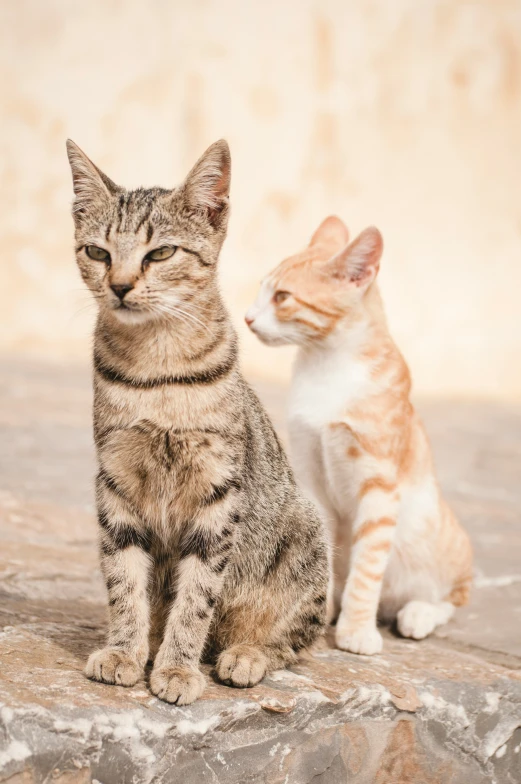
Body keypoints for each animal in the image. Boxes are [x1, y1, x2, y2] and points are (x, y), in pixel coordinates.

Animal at [64, 136, 324, 704]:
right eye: (98, 252)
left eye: (160, 252)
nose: (119, 286)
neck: (156, 369)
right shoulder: (116, 483)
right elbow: (125, 583)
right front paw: (125, 650)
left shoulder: (218, 493)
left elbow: (197, 595)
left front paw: (177, 667)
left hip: (307, 536)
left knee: (293, 641)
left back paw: (244, 654)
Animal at [245, 214, 472, 656]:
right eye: (262, 290)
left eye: (282, 297)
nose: (247, 317)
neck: (325, 367)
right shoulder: (311, 476)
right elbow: (324, 557)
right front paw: (318, 612)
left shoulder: (379, 487)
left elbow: (367, 567)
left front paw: (355, 630)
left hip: (441, 544)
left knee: (452, 598)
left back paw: (418, 613)